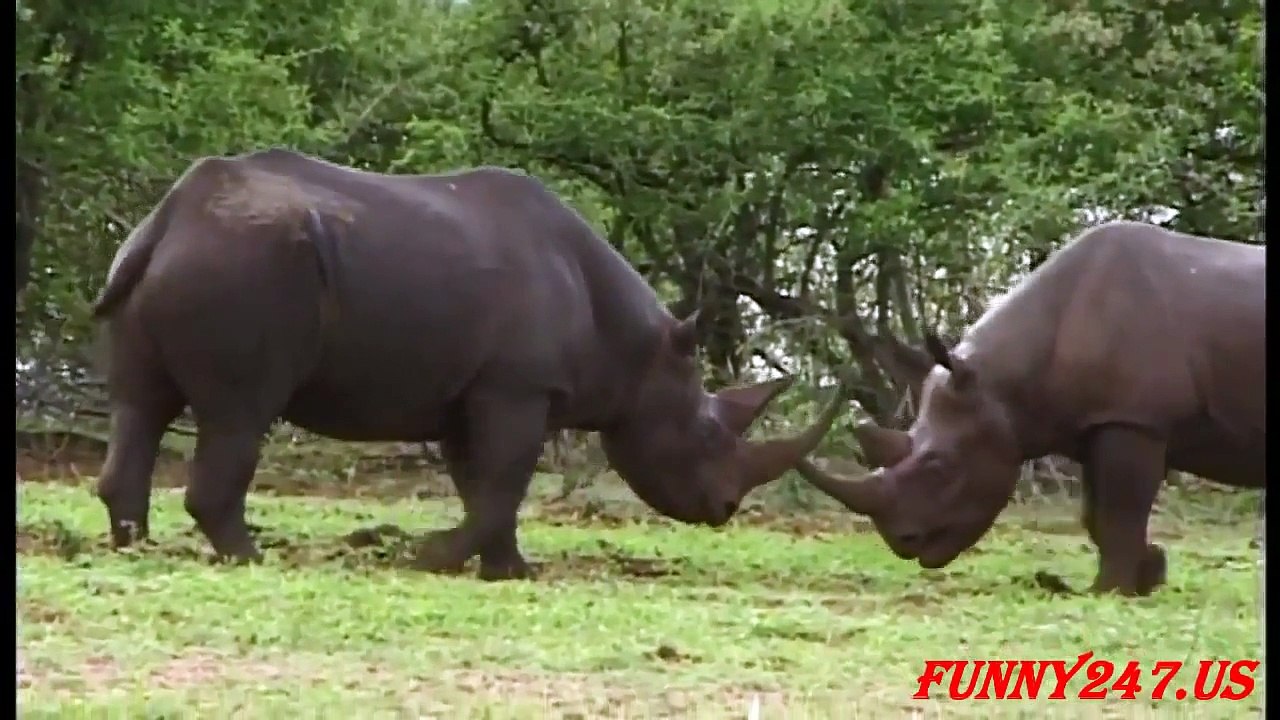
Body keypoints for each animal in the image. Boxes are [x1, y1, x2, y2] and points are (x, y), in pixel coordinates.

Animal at [90, 148, 845, 580]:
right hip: (246, 269)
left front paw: (509, 571)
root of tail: (169, 221)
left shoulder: (470, 392)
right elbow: (504, 481)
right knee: (241, 413)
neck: (639, 347)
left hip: (180, 262)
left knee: (141, 404)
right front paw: (433, 558)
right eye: (709, 435)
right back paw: (251, 559)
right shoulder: (517, 387)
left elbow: (481, 484)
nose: (725, 509)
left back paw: (134, 548)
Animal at [796, 220, 1265, 596]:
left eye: (939, 466)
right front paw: (1146, 576)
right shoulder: (1092, 421)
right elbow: (1096, 516)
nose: (903, 543)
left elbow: (1119, 512)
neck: (1000, 380)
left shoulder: (1133, 419)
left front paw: (1110, 592)